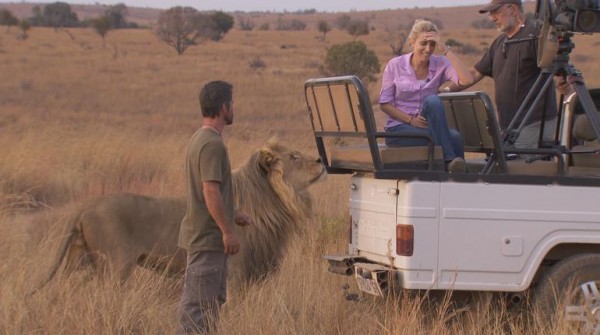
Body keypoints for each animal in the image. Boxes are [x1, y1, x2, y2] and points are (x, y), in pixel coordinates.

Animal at [38, 140, 324, 290]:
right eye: (294, 156)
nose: (321, 160)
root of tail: (84, 206)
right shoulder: (236, 271)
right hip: (115, 267)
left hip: (78, 261)